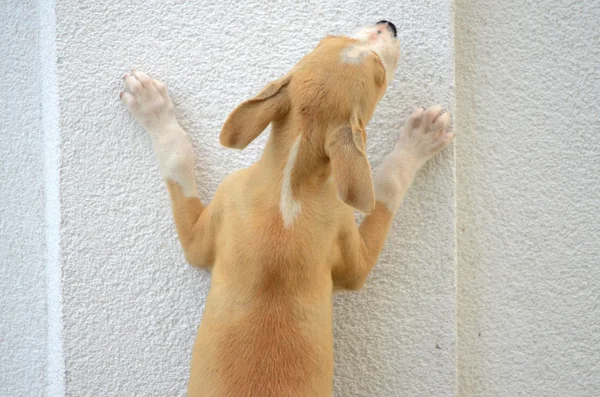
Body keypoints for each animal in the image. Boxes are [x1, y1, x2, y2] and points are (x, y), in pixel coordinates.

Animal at [119, 21, 452, 396]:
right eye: (380, 75)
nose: (388, 24)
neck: (290, 181)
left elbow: (387, 187)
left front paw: (419, 138)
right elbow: (385, 190)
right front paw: (152, 106)